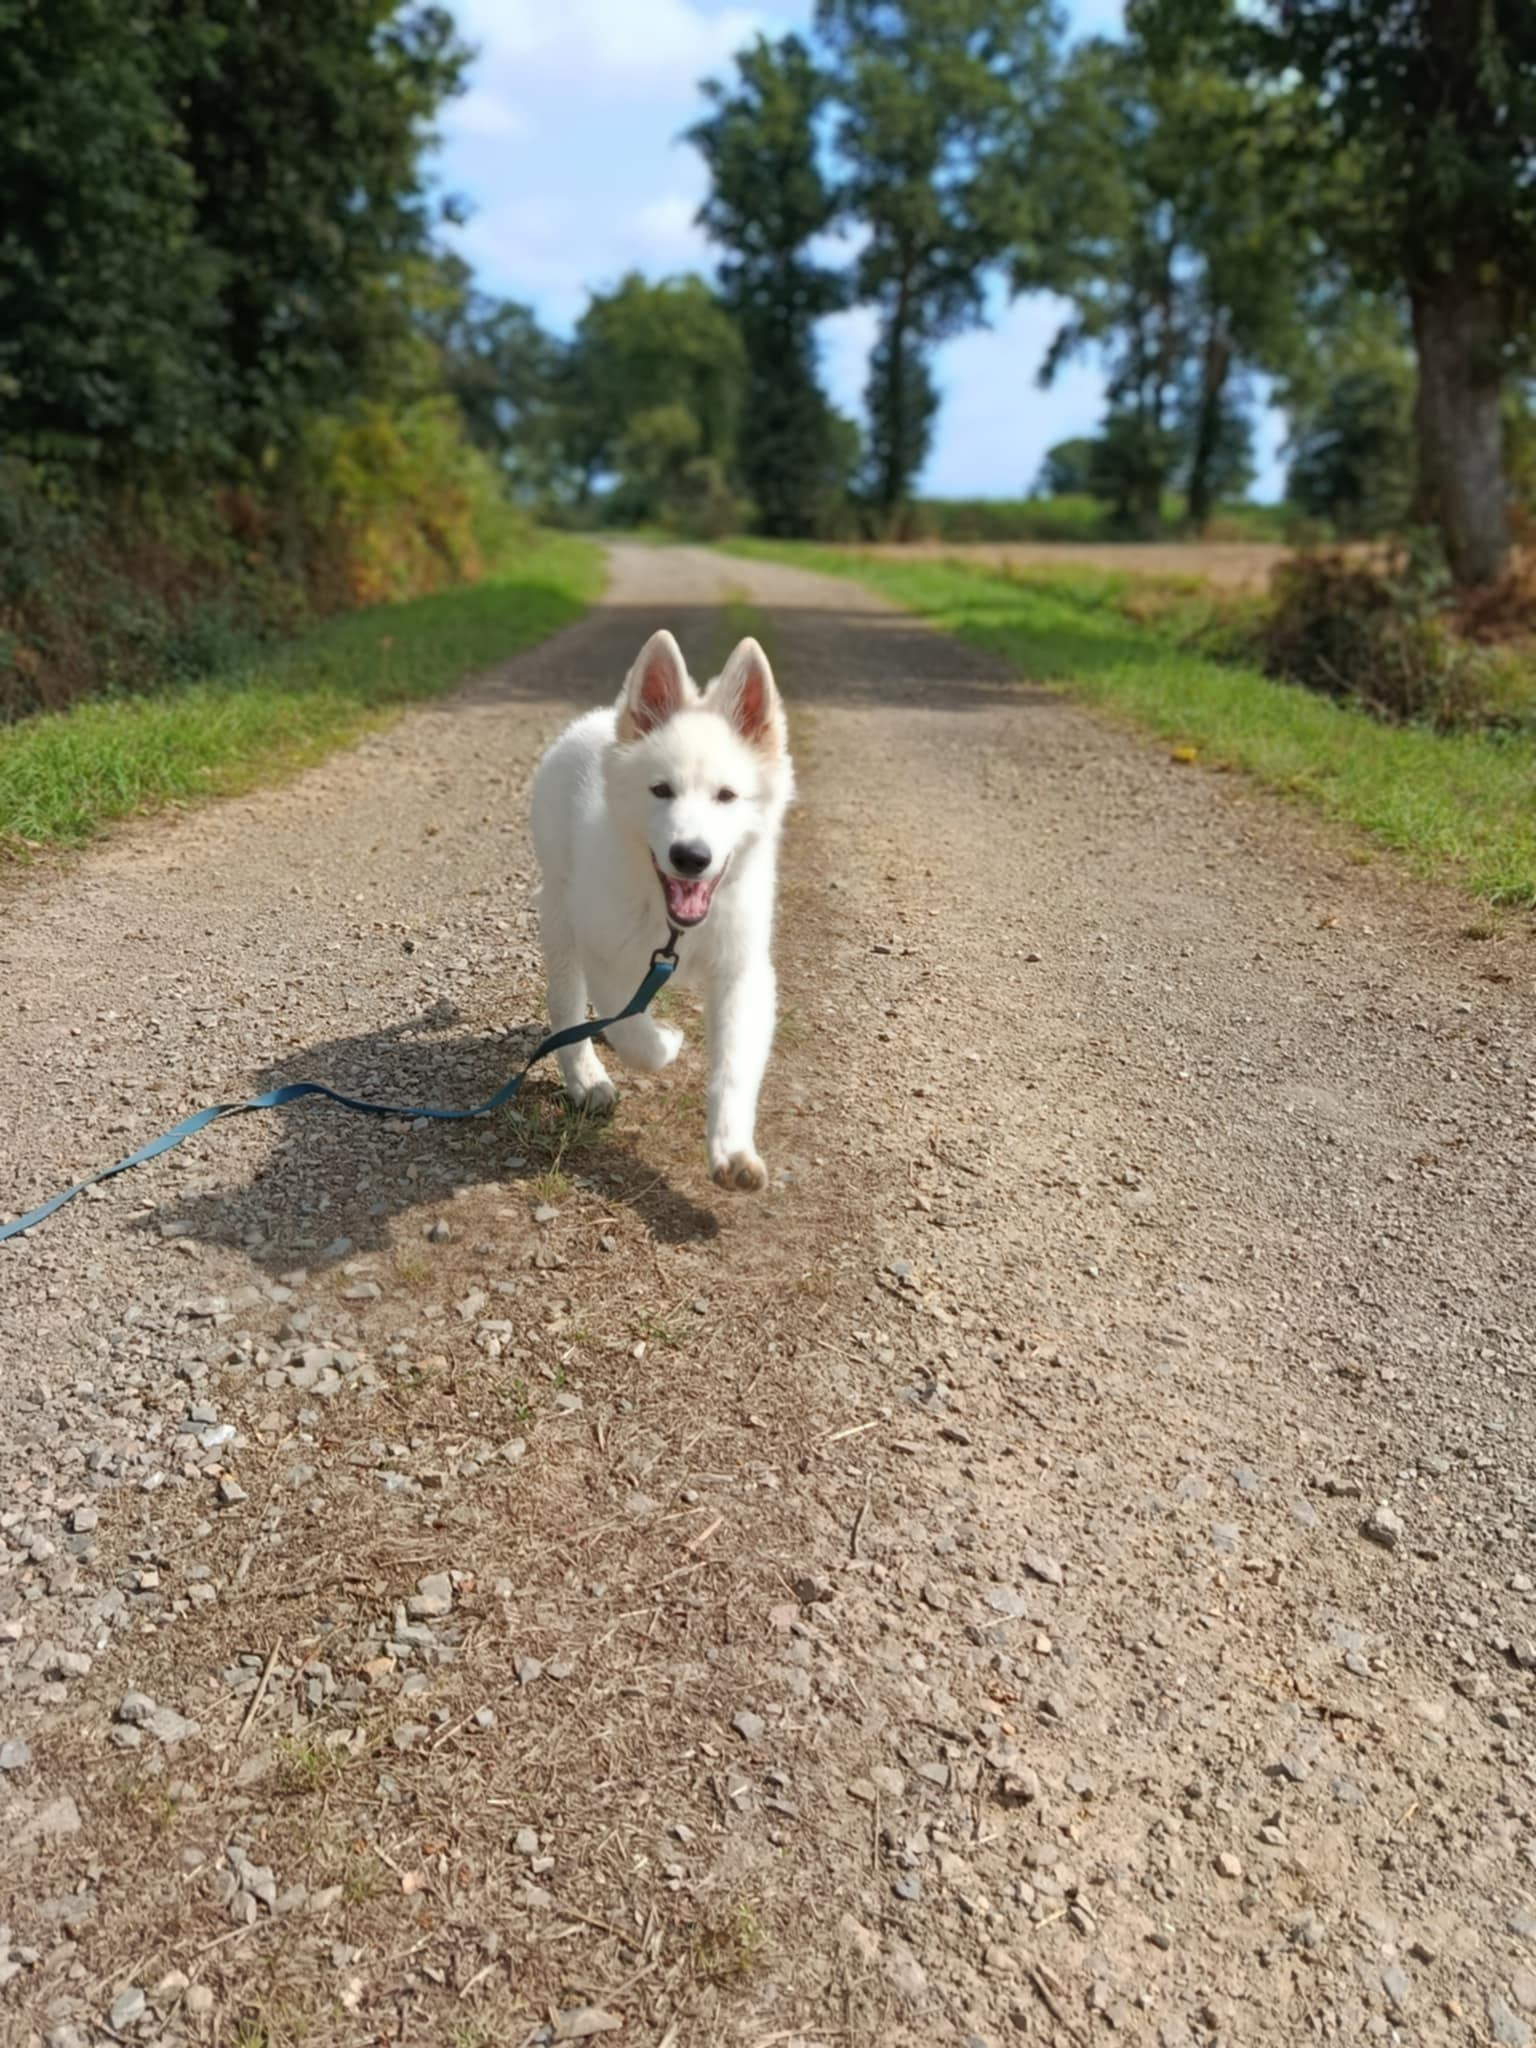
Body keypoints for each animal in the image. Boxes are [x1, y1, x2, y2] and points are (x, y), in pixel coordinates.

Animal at [529, 628, 793, 1191]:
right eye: (661, 791)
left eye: (727, 796)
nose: (691, 857)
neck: (676, 927)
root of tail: (593, 720)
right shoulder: (605, 955)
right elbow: (633, 1034)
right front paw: (668, 1043)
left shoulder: (743, 971)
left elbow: (734, 1066)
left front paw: (732, 1151)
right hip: (559, 910)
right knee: (565, 1004)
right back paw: (586, 1077)